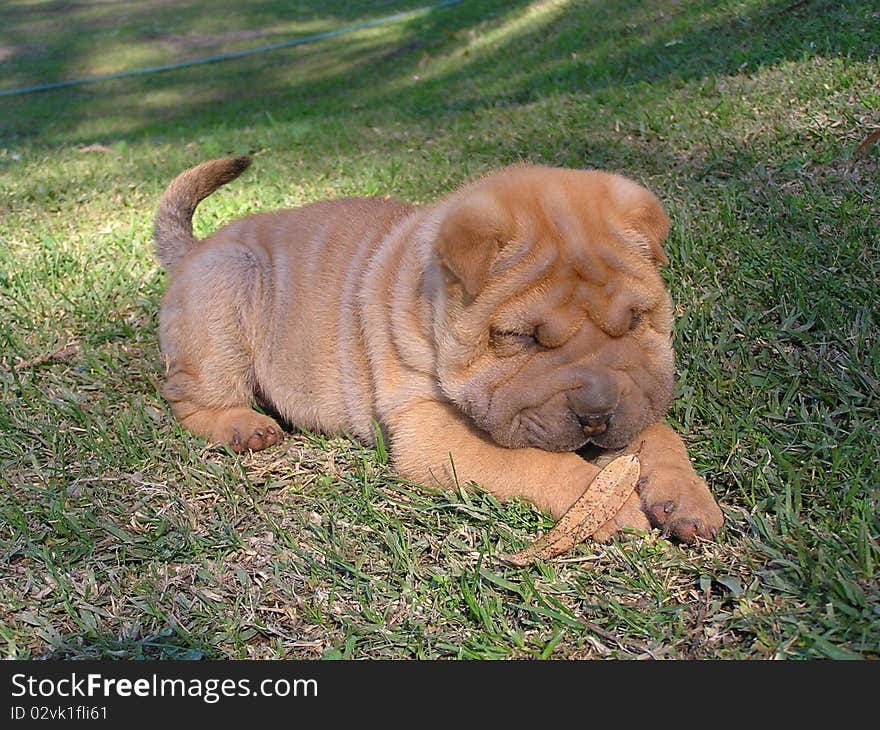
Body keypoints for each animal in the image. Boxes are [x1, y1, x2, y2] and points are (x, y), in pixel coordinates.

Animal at [155, 158, 724, 540]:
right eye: (522, 338)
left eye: (636, 321)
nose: (597, 414)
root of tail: (197, 250)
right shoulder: (430, 429)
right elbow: (538, 463)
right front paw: (611, 508)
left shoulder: (639, 392)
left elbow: (658, 433)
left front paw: (686, 497)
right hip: (226, 293)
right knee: (187, 396)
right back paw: (241, 427)